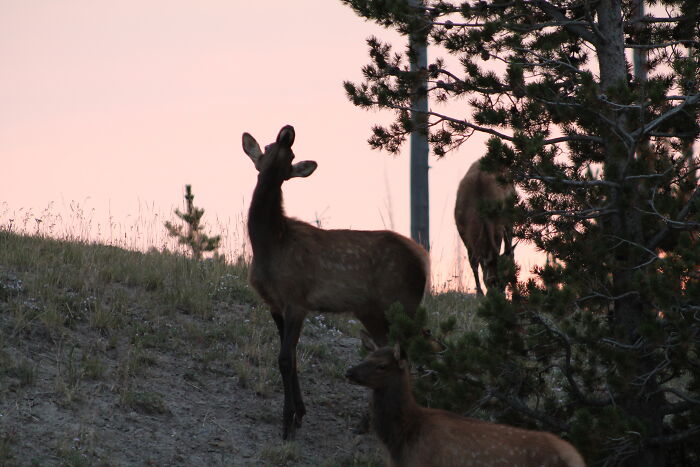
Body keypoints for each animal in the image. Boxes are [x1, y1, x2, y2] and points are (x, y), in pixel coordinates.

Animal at [241, 125, 430, 440]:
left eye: (290, 156)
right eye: (267, 148)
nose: (287, 132)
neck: (270, 244)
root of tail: (424, 261)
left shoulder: (297, 299)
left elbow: (284, 358)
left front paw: (287, 423)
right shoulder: (274, 304)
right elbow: (292, 357)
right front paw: (300, 414)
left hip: (402, 303)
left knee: (409, 353)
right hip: (372, 311)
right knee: (388, 350)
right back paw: (366, 422)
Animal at [454, 158, 516, 295]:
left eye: (504, 282)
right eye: (490, 282)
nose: (500, 296)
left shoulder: (497, 228)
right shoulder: (463, 232)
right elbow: (473, 261)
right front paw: (479, 293)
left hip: (510, 218)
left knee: (510, 249)